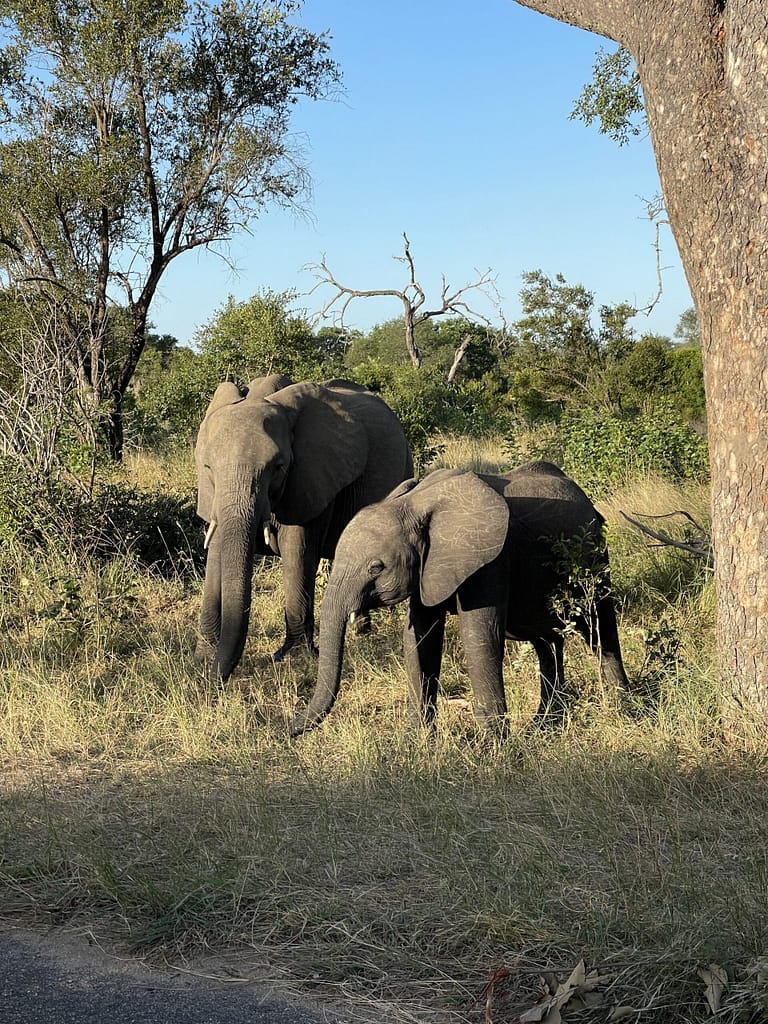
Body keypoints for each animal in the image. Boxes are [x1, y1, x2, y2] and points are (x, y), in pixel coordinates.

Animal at [195, 374, 413, 680]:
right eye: (208, 467)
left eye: (278, 467)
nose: (212, 683)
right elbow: (216, 551)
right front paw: (202, 657)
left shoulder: (312, 479)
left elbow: (297, 551)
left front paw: (293, 660)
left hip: (405, 464)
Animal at [290, 461, 631, 737]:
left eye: (376, 567)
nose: (288, 730)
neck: (413, 504)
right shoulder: (429, 566)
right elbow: (420, 638)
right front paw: (416, 742)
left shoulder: (491, 561)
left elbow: (479, 637)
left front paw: (495, 748)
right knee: (546, 642)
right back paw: (544, 727)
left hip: (595, 558)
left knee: (600, 628)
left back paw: (624, 711)